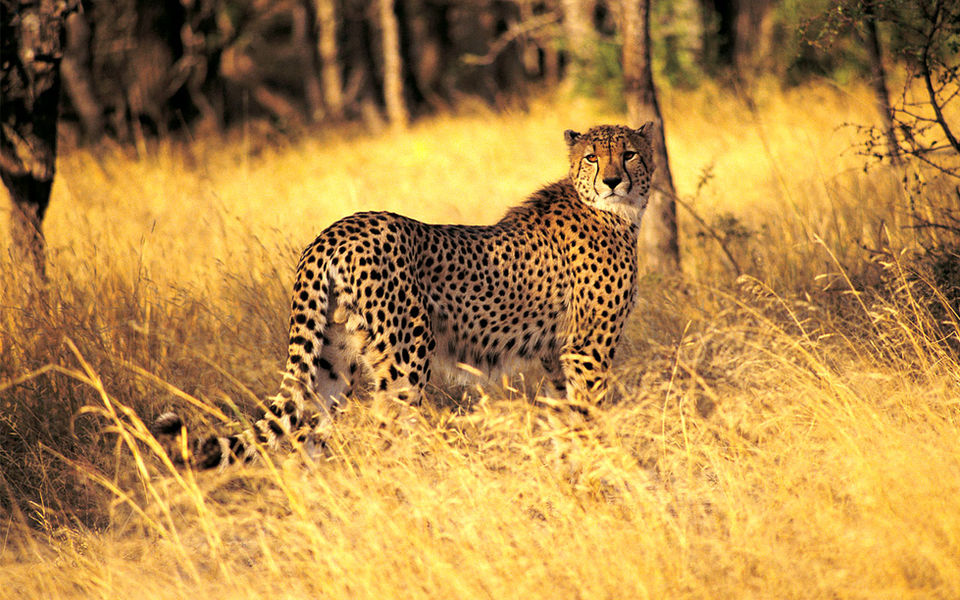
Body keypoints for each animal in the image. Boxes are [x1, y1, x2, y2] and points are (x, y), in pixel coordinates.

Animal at [153, 122, 657, 469]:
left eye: (629, 154)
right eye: (592, 157)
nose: (614, 181)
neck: (613, 212)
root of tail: (335, 230)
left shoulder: (556, 353)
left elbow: (565, 420)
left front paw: (568, 475)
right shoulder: (588, 349)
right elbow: (588, 417)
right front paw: (598, 479)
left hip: (330, 358)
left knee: (306, 435)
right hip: (407, 355)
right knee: (387, 436)